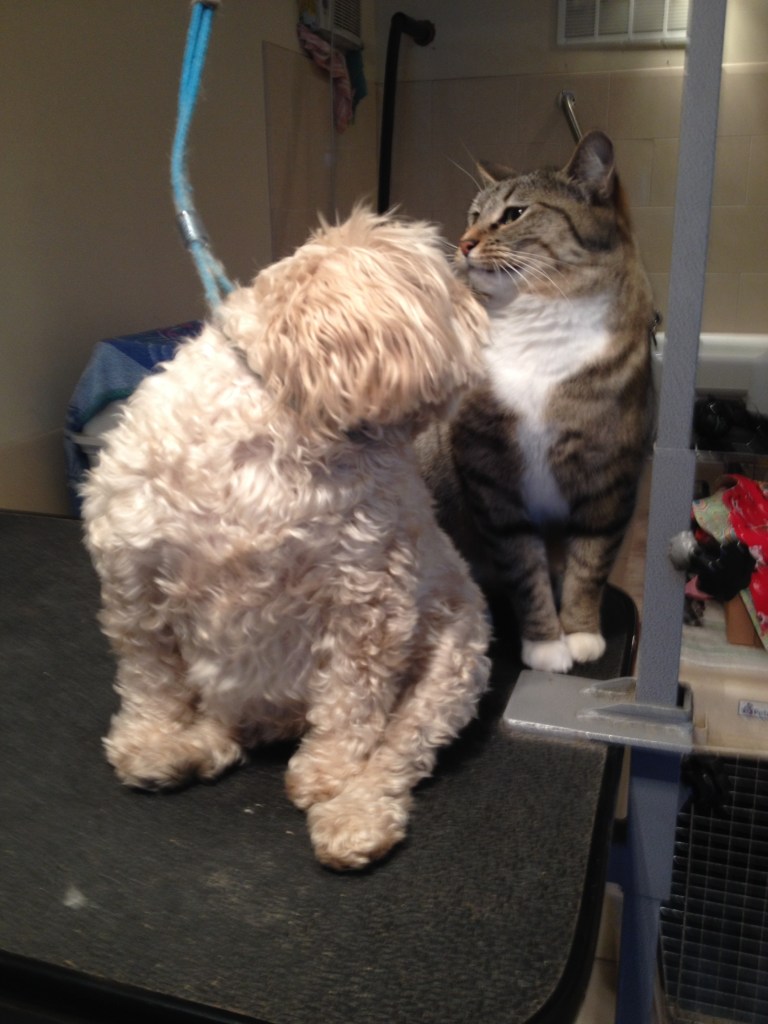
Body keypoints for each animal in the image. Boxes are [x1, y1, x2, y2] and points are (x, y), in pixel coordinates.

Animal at [82, 208, 491, 870]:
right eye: (447, 286)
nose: (482, 307)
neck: (278, 429)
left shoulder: (370, 598)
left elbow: (353, 704)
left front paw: (328, 774)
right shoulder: (132, 581)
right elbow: (150, 677)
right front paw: (149, 739)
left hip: (453, 665)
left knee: (400, 750)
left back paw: (356, 817)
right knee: (226, 725)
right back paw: (190, 748)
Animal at [418, 129, 655, 674]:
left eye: (514, 214)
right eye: (472, 214)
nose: (463, 243)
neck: (540, 315)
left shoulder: (611, 478)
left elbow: (591, 563)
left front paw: (581, 632)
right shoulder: (493, 479)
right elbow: (523, 568)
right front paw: (546, 644)